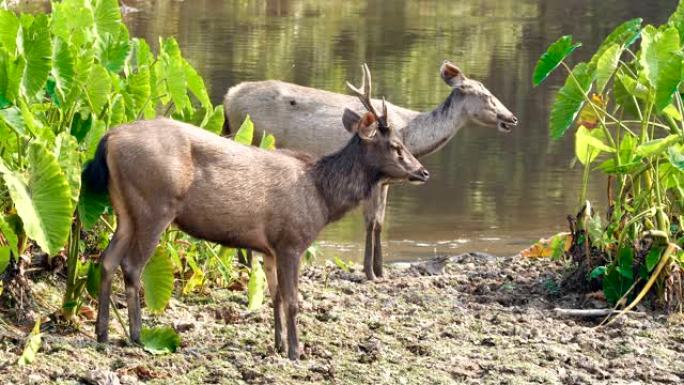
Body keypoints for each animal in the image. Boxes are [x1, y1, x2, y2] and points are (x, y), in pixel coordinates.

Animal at [224, 60, 520, 280]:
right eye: (485, 95)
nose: (512, 118)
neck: (413, 135)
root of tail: (229, 96)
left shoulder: (386, 182)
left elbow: (380, 223)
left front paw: (380, 270)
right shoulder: (372, 180)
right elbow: (372, 222)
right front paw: (370, 272)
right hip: (252, 138)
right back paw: (246, 264)